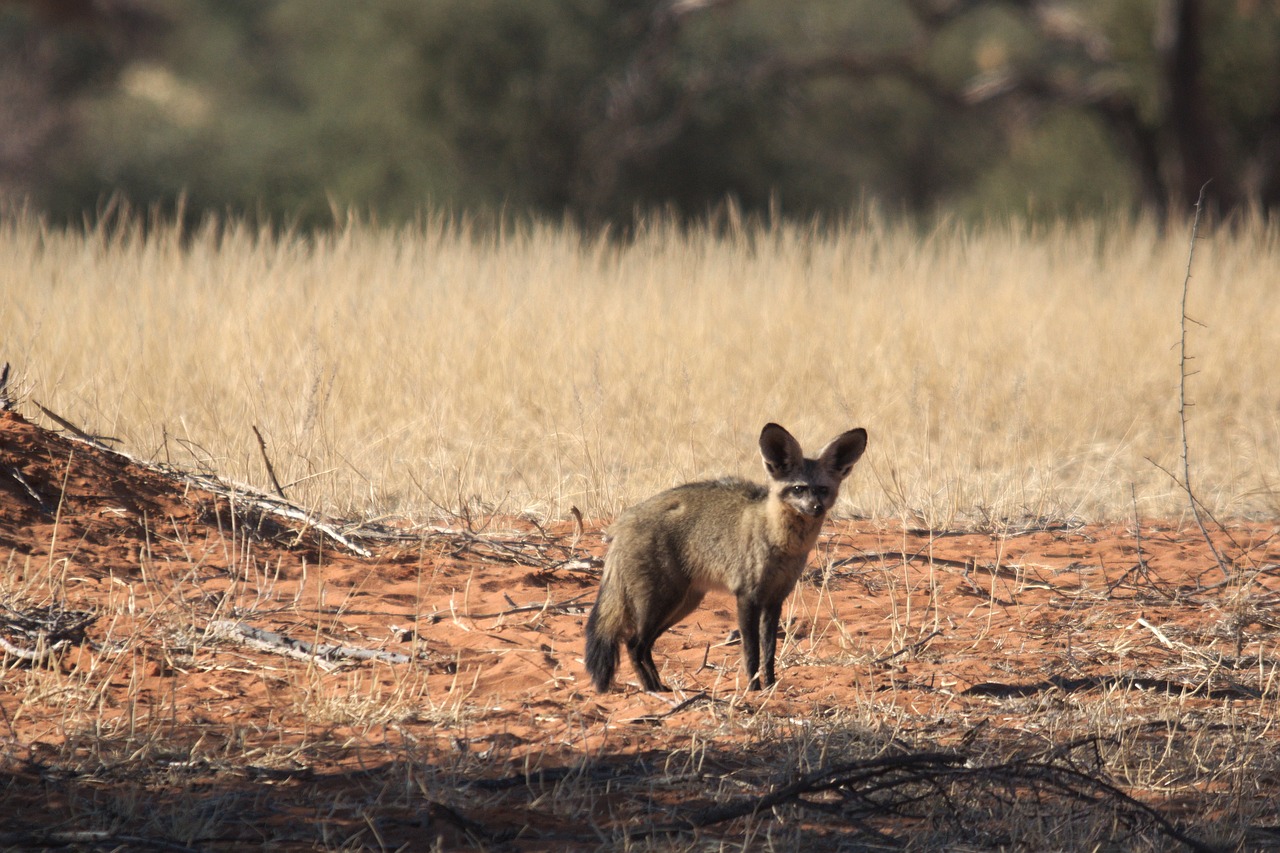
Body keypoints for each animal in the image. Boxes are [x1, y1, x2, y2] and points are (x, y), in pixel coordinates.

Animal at [586, 420, 865, 691]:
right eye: (798, 489)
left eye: (823, 489)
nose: (816, 508)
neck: (781, 543)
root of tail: (623, 522)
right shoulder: (747, 597)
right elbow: (751, 651)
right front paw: (753, 689)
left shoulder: (775, 599)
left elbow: (769, 652)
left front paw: (770, 687)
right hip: (662, 601)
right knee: (633, 643)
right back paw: (651, 689)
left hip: (683, 604)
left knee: (644, 646)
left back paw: (658, 687)